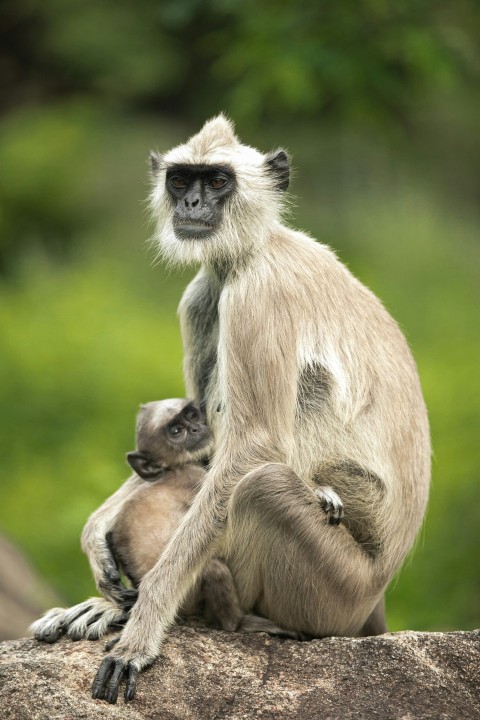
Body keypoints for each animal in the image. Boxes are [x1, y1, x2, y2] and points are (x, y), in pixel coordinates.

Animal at [33, 400, 342, 640]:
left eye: (191, 416)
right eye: (176, 432)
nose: (196, 429)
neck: (173, 469)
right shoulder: (194, 476)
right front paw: (320, 491)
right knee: (213, 569)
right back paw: (240, 624)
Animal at [91, 115, 432, 700]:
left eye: (218, 181)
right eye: (181, 181)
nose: (193, 204)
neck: (252, 250)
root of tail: (378, 590)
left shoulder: (258, 294)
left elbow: (252, 451)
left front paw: (141, 633)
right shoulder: (203, 293)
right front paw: (99, 532)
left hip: (338, 591)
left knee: (263, 485)